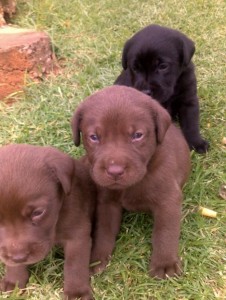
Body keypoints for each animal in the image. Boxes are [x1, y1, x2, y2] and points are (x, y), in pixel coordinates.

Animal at [0, 144, 94, 298]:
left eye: (38, 212)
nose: (19, 257)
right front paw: (14, 282)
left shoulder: (78, 235)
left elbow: (75, 264)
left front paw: (76, 292)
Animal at [115, 24, 209, 154]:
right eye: (135, 67)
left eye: (163, 66)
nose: (145, 92)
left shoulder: (188, 100)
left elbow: (191, 123)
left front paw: (196, 143)